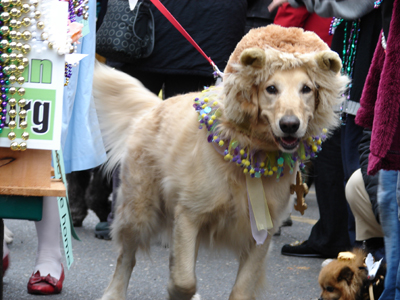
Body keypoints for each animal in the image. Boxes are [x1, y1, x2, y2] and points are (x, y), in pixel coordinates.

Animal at [93, 25, 346, 300]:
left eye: (306, 89)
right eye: (271, 88)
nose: (289, 125)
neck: (250, 153)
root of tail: (156, 105)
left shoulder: (262, 233)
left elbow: (239, 289)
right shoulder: (189, 214)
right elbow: (183, 280)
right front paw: (177, 291)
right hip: (139, 209)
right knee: (126, 257)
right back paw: (114, 293)